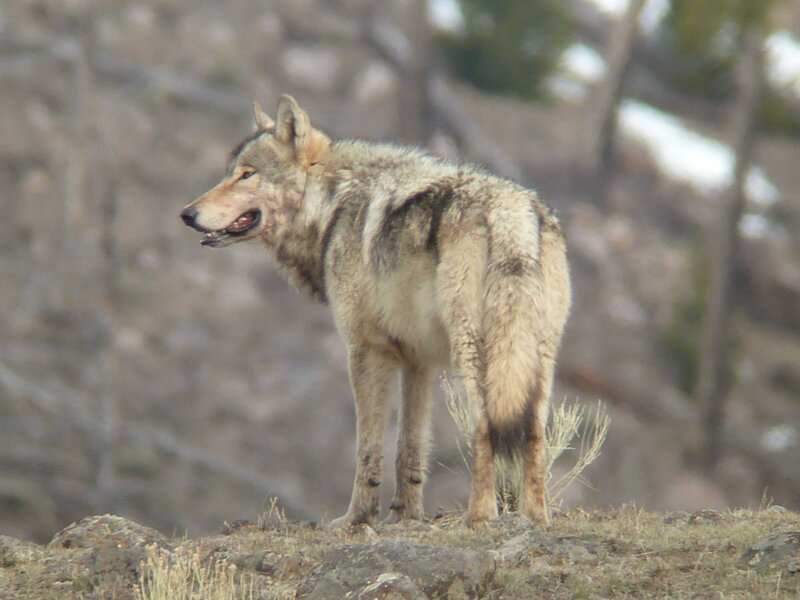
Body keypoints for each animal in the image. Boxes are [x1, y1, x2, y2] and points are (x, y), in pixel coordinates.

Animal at [181, 95, 571, 527]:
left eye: (247, 175)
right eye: (228, 173)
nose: (187, 214)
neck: (331, 207)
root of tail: (510, 209)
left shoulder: (365, 349)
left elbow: (367, 447)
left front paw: (356, 520)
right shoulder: (419, 362)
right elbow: (409, 449)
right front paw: (407, 517)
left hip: (474, 348)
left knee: (485, 425)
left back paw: (480, 518)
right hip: (535, 356)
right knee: (535, 429)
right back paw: (536, 519)